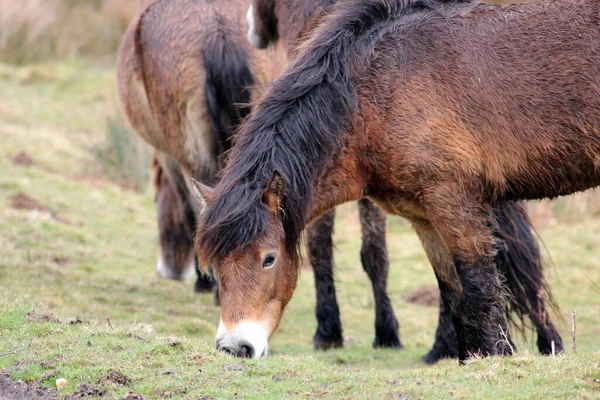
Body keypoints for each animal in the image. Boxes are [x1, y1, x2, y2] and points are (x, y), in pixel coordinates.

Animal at [195, 0, 592, 362]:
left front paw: (492, 361)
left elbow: (479, 290)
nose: (235, 347)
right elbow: (455, 295)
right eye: (214, 264)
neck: (377, 91)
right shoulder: (426, 218)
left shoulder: (457, 206)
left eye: (269, 259)